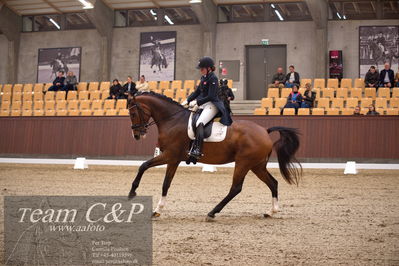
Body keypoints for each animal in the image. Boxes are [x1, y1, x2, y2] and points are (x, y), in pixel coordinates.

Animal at [126, 91, 302, 220]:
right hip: (257, 165)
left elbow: (145, 166)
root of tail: (265, 131)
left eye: (133, 113)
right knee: (273, 183)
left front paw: (133, 193)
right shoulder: (173, 160)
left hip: (244, 163)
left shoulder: (170, 156)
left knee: (236, 188)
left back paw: (212, 212)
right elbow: (164, 182)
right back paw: (271, 211)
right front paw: (155, 209)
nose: (137, 135)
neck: (173, 120)